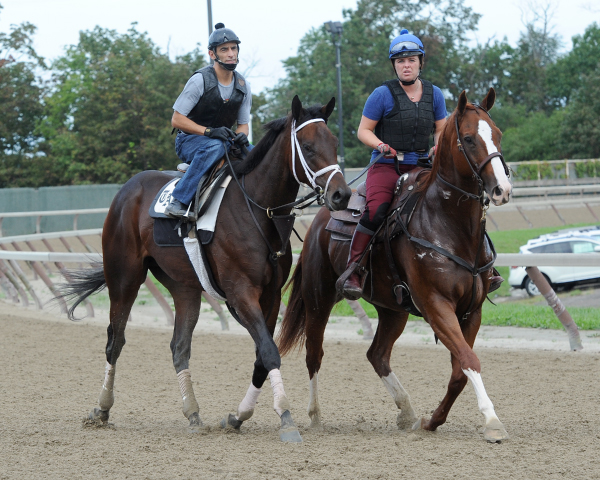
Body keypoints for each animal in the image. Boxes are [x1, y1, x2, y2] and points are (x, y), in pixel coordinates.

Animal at [61, 95, 352, 443]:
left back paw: (193, 412)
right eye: (307, 146)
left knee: (179, 346)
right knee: (115, 340)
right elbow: (269, 352)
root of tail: (127, 189)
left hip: (184, 287)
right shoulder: (241, 293)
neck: (257, 208)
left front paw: (238, 416)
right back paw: (102, 408)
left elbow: (261, 356)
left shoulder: (269, 296)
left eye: (334, 143)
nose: (341, 194)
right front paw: (285, 417)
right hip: (124, 277)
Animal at [277, 88, 513, 443]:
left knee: (377, 354)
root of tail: (320, 217)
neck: (446, 224)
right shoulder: (436, 305)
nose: (502, 189)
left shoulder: (472, 311)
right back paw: (315, 415)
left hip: (392, 310)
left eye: (497, 134)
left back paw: (408, 412)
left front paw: (433, 421)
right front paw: (492, 421)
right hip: (319, 299)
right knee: (314, 353)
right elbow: (469, 360)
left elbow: (460, 370)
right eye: (469, 139)